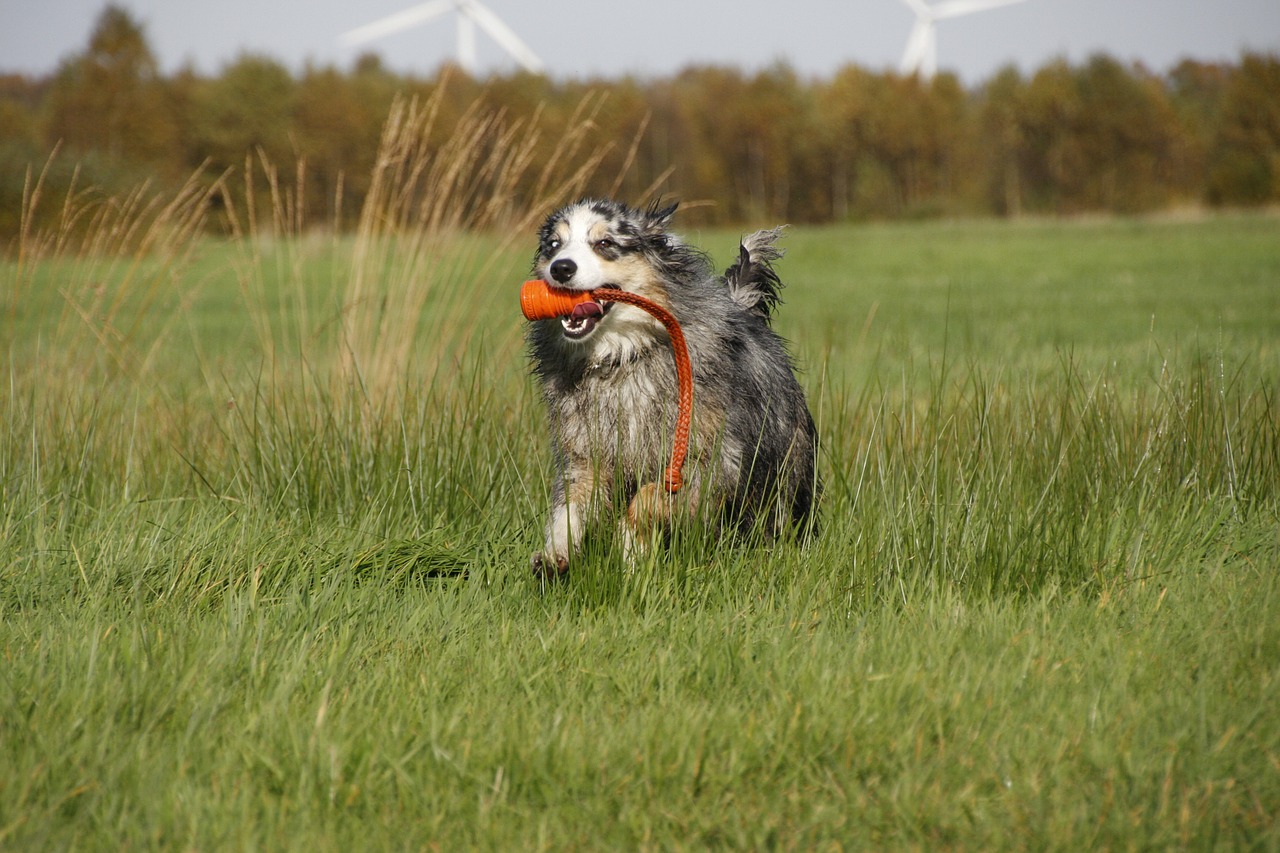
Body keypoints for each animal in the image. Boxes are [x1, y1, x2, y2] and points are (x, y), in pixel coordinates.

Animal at [527, 195, 819, 573]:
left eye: (604, 243)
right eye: (553, 245)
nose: (560, 268)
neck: (624, 357)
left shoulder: (709, 458)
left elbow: (646, 500)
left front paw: (628, 548)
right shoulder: (585, 450)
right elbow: (571, 503)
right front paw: (555, 555)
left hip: (787, 463)